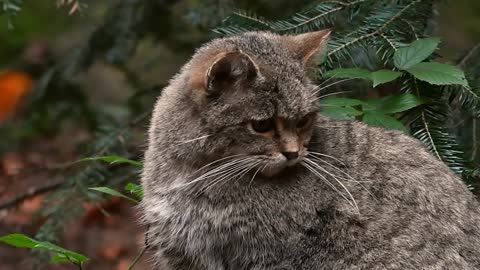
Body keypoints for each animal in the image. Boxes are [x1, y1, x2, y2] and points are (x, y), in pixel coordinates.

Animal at [141, 29, 480, 268]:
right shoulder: (180, 254)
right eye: (262, 125)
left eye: (304, 120)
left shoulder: (271, 256)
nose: (293, 153)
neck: (193, 176)